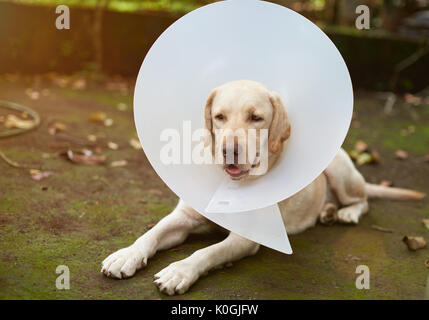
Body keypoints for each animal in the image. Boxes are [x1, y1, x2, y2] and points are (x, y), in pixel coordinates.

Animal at [101, 79, 424, 296]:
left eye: (256, 118)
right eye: (219, 117)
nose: (229, 151)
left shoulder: (244, 239)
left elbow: (206, 253)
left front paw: (180, 270)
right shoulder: (185, 217)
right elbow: (152, 233)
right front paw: (126, 254)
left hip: (340, 169)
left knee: (363, 201)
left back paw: (346, 213)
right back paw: (328, 211)